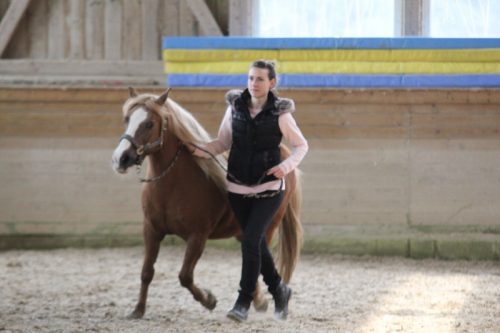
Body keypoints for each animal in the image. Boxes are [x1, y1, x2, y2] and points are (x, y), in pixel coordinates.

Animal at [111, 87, 302, 316]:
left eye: (149, 124)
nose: (121, 158)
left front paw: (209, 300)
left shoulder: (197, 236)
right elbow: (147, 272)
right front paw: (138, 310)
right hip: (243, 231)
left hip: (267, 227)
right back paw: (258, 301)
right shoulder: (151, 230)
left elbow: (185, 276)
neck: (172, 185)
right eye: (127, 119)